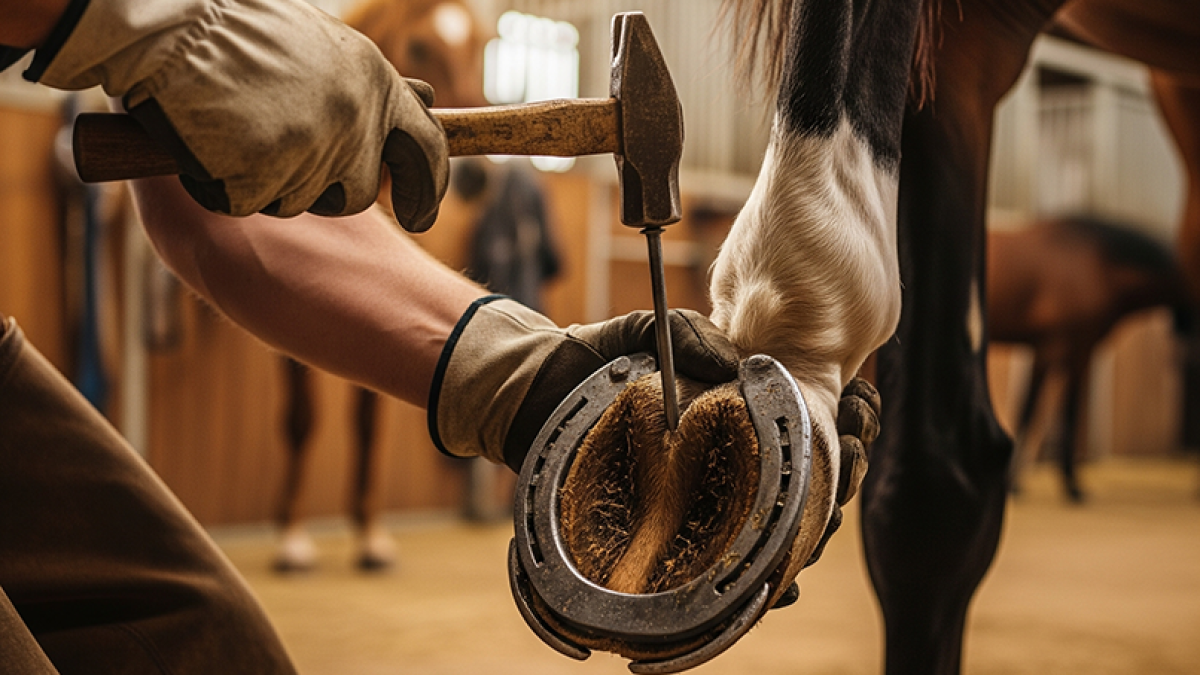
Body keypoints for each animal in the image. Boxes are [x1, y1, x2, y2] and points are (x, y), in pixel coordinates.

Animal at [272, 0, 489, 572]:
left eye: (482, 48)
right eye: (417, 46)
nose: (479, 178)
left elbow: (370, 422)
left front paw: (370, 534)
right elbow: (301, 419)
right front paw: (292, 536)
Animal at [988, 215, 1192, 502]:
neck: (1099, 265)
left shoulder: (1074, 351)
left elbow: (1061, 411)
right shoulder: (1055, 348)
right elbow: (1036, 411)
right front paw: (1063, 486)